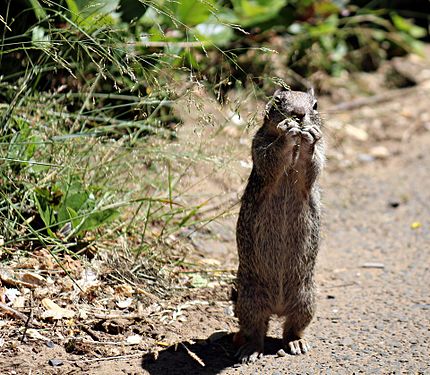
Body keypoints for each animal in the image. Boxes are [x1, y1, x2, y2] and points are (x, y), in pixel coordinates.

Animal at [235, 88, 322, 364]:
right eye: (277, 101)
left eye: (315, 105)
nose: (299, 114)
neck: (295, 149)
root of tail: (278, 306)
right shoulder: (260, 146)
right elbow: (271, 158)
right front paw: (287, 131)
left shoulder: (318, 159)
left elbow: (313, 166)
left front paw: (310, 137)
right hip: (250, 301)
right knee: (256, 331)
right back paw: (250, 350)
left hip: (305, 299)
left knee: (292, 328)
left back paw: (296, 343)